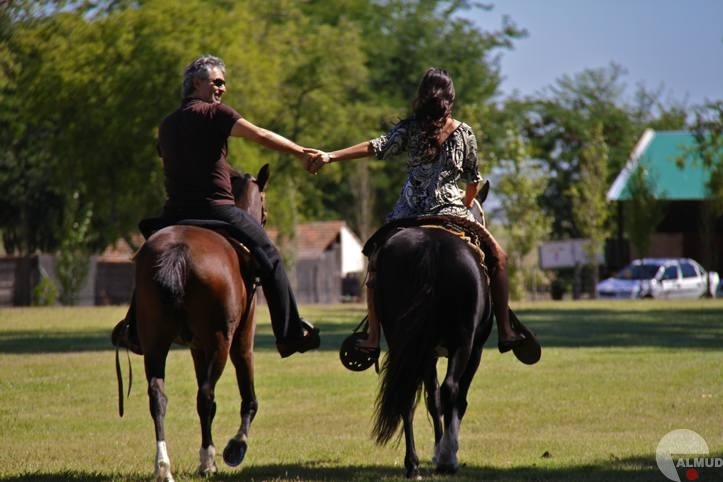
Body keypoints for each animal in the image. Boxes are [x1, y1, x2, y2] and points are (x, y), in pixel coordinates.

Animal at [133, 164, 268, 480]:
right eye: (265, 208)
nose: (265, 220)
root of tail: (178, 252)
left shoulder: (197, 347)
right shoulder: (241, 340)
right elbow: (247, 397)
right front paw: (234, 446)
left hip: (154, 341)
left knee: (158, 396)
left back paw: (163, 466)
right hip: (221, 342)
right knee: (205, 396)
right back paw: (207, 460)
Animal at [374, 225, 492, 478]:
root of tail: (430, 248)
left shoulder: (426, 353)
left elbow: (432, 400)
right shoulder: (475, 349)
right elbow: (456, 399)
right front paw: (444, 451)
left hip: (405, 344)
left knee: (406, 395)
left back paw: (412, 465)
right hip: (463, 343)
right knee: (450, 389)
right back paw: (448, 460)